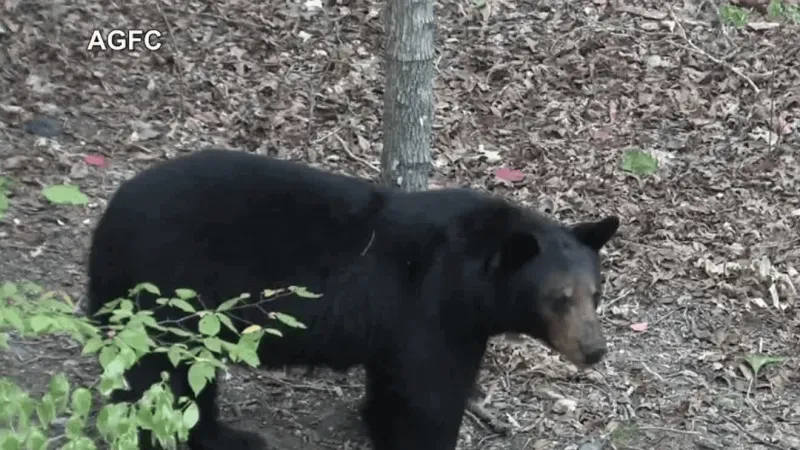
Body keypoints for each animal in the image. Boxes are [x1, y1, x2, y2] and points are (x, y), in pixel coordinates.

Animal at [86, 148, 620, 450]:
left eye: (595, 294)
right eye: (559, 297)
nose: (595, 350)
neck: (474, 275)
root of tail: (108, 220)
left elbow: (394, 382)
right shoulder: (435, 306)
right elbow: (430, 391)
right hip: (165, 292)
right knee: (160, 375)